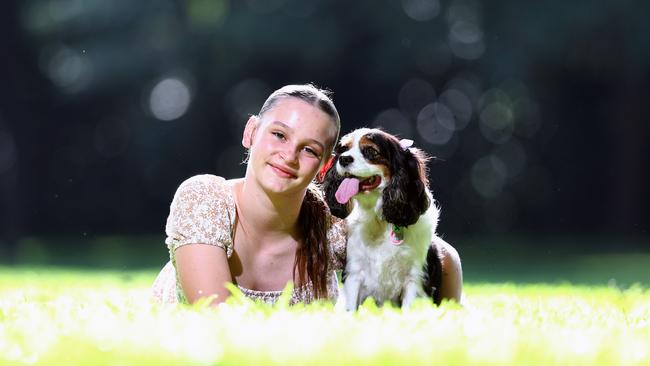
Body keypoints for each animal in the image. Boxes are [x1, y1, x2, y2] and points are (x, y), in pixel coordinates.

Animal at [320, 127, 440, 310]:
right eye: (343, 149)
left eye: (371, 151)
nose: (344, 158)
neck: (379, 218)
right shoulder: (354, 273)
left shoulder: (415, 277)